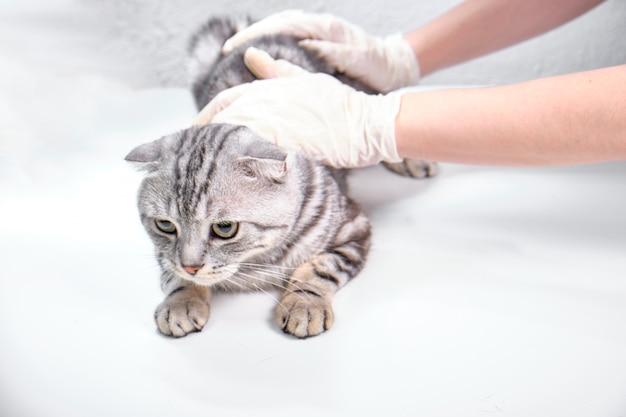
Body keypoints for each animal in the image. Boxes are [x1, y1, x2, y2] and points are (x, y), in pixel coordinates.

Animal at [125, 15, 434, 338]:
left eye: (225, 228)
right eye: (165, 225)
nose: (191, 267)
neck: (253, 262)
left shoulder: (352, 228)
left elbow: (320, 268)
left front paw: (304, 304)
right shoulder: (166, 254)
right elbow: (171, 271)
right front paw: (181, 300)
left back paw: (411, 157)